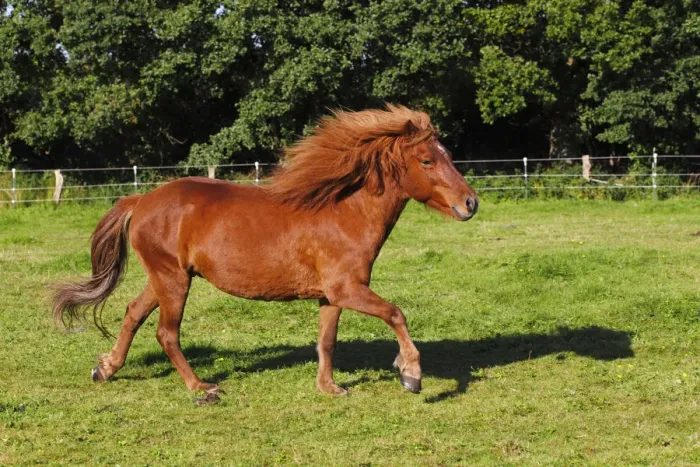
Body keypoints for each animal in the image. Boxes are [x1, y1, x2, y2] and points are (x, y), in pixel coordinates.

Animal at [52, 104, 478, 397]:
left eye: (448, 155)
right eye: (427, 160)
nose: (471, 204)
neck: (344, 211)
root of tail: (141, 201)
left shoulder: (331, 295)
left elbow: (327, 341)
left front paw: (329, 388)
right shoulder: (348, 289)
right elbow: (395, 313)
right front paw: (411, 375)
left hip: (166, 277)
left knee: (133, 314)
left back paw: (105, 369)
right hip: (173, 281)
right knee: (166, 333)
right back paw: (202, 388)